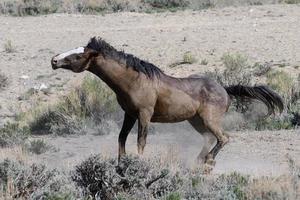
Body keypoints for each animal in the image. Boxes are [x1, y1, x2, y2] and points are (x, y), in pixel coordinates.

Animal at [49, 36, 284, 171]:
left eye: (78, 55)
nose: (54, 60)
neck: (134, 80)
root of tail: (225, 89)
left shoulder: (144, 115)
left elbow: (140, 141)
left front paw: (138, 164)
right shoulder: (129, 114)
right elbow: (121, 138)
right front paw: (121, 165)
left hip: (210, 120)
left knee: (224, 138)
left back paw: (209, 162)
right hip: (196, 121)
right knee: (210, 139)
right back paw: (198, 161)